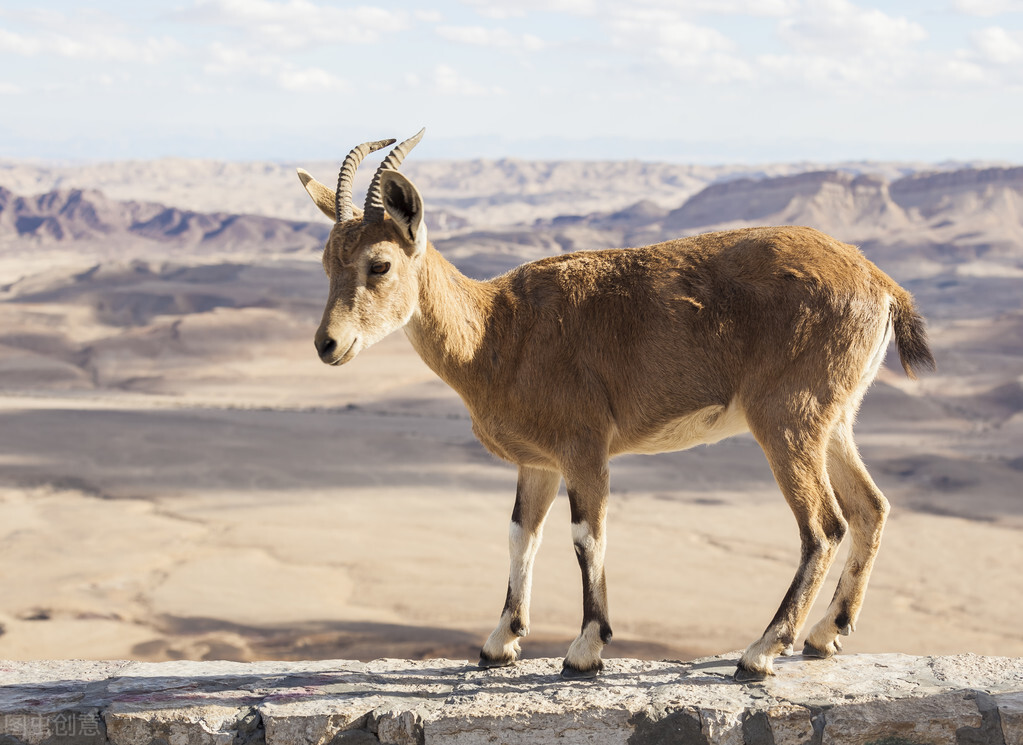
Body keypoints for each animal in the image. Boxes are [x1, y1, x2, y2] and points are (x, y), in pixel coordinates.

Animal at [294, 129, 937, 679]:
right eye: (325, 263)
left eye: (379, 264)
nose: (328, 345)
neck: (495, 332)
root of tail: (882, 284)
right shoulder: (539, 462)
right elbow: (521, 534)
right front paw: (499, 643)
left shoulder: (584, 447)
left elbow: (587, 535)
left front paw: (585, 648)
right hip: (835, 419)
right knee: (870, 507)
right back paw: (826, 634)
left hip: (786, 418)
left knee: (823, 526)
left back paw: (760, 652)